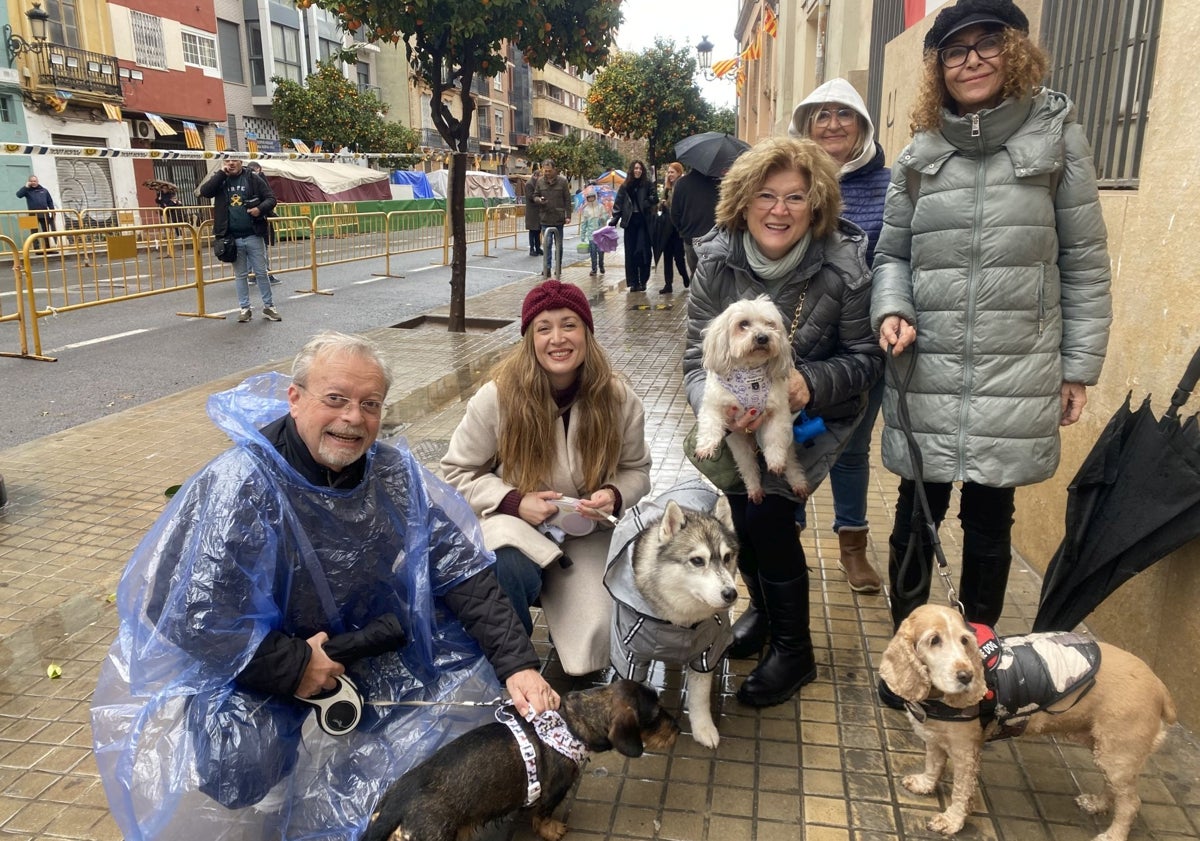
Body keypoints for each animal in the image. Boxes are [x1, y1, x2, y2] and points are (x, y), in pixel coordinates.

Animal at [360, 681, 681, 835]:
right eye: (655, 716)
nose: (678, 729)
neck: (570, 723)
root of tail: (395, 807)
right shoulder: (553, 792)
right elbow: (543, 816)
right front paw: (552, 831)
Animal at [609, 484, 739, 748]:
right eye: (697, 561)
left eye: (727, 557)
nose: (731, 594)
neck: (679, 621)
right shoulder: (629, 654)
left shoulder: (707, 651)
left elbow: (700, 697)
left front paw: (703, 728)